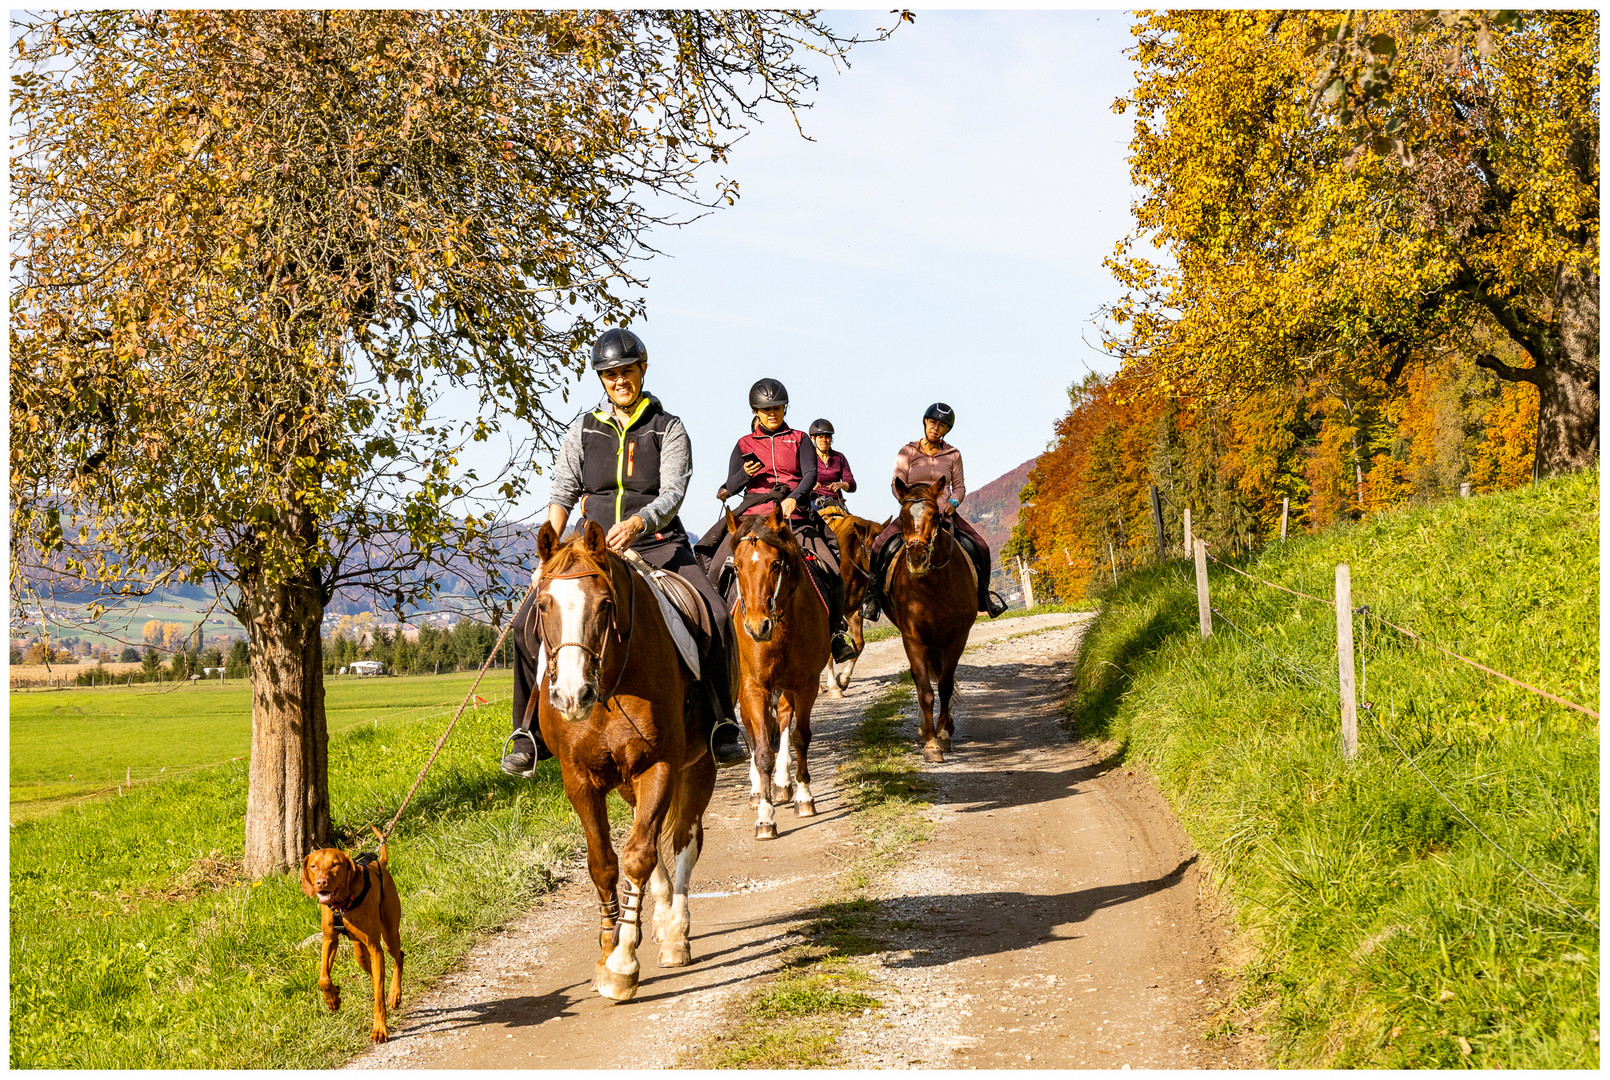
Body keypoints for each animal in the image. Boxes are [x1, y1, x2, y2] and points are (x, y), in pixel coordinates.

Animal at [302, 830, 405, 1036]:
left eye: (335, 864)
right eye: (313, 866)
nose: (320, 882)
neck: (342, 905)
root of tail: (379, 864)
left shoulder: (375, 947)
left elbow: (379, 996)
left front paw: (379, 1027)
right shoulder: (329, 940)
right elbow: (323, 978)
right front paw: (332, 999)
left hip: (389, 934)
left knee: (398, 958)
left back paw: (394, 994)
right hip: (360, 953)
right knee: (374, 976)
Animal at [524, 518, 714, 1004]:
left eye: (605, 604)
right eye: (544, 605)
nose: (573, 695)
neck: (611, 683)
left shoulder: (658, 765)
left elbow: (638, 857)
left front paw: (623, 962)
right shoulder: (579, 778)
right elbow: (605, 862)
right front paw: (607, 945)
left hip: (698, 766)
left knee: (683, 842)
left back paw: (676, 932)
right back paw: (661, 922)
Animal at [727, 502, 830, 843]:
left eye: (775, 564)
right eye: (736, 568)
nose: (757, 627)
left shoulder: (806, 683)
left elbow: (800, 736)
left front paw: (804, 797)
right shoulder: (754, 687)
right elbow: (761, 752)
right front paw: (764, 817)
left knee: (784, 717)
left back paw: (784, 783)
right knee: (753, 731)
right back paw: (758, 791)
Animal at [888, 476, 972, 766]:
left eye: (935, 516)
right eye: (902, 516)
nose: (917, 559)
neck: (932, 586)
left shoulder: (957, 638)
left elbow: (945, 685)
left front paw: (944, 734)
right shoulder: (913, 639)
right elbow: (925, 690)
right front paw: (931, 743)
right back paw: (924, 728)